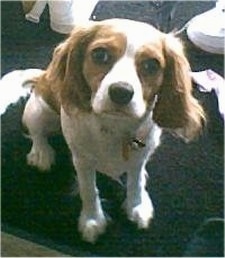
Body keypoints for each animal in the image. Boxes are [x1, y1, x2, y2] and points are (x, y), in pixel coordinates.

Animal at [1, 19, 206, 243]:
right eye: (100, 54)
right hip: (39, 110)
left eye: (151, 65)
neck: (114, 125)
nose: (121, 92)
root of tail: (42, 77)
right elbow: (89, 190)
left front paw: (137, 205)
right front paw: (92, 220)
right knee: (37, 133)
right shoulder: (82, 160)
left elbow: (135, 182)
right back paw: (41, 153)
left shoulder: (140, 154)